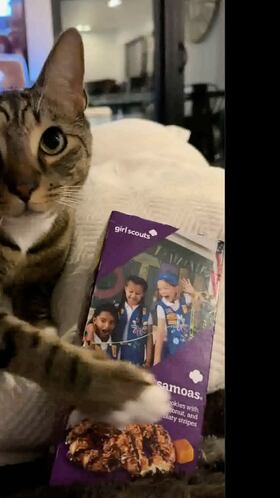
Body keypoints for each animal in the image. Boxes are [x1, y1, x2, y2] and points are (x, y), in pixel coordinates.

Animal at [0, 27, 168, 456]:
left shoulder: (49, 263)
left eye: (53, 140)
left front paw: (42, 323)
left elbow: (38, 293)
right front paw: (123, 392)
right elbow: (37, 350)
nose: (24, 187)